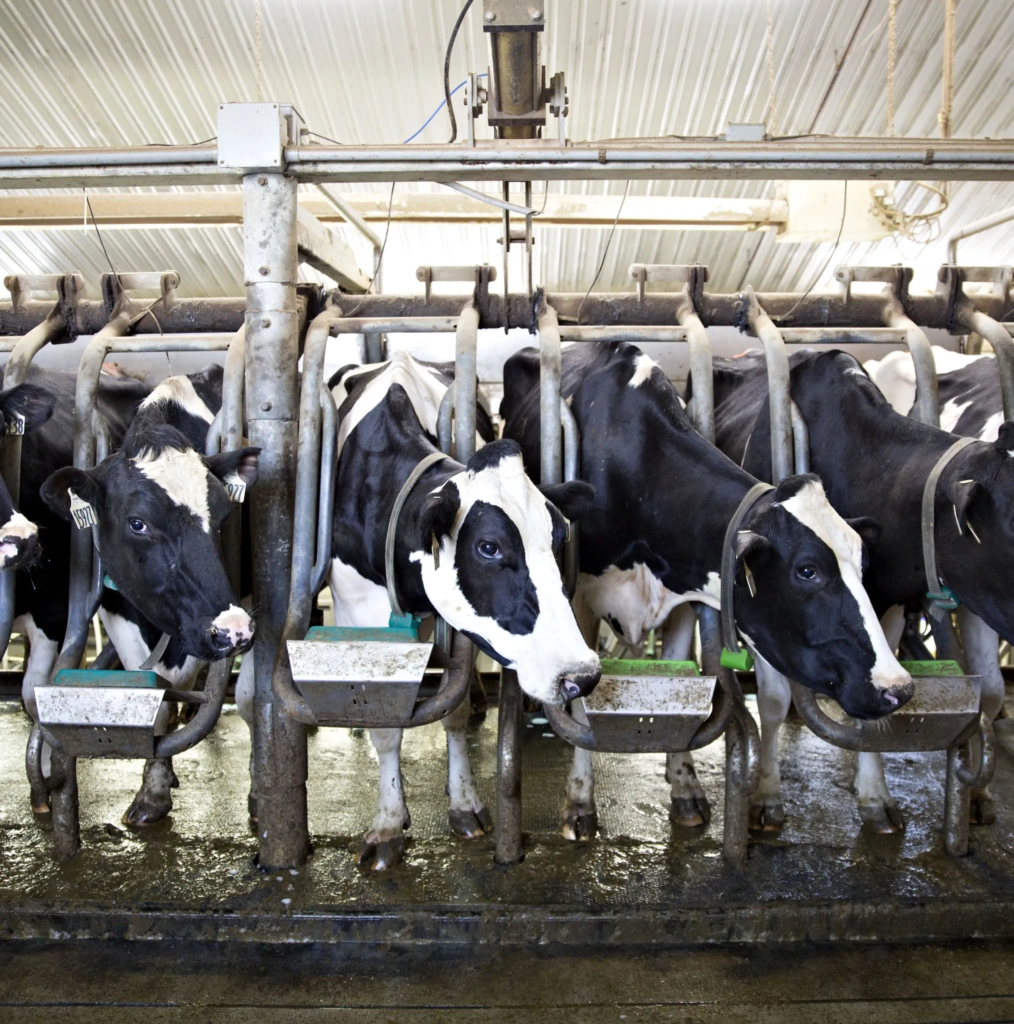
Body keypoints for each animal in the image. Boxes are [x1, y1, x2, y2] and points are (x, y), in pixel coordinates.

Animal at [19, 366, 258, 825]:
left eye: (223, 514)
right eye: (137, 523)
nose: (232, 631)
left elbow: (185, 683)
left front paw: (156, 789)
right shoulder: (117, 602)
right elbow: (153, 692)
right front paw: (154, 789)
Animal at [248, 349, 600, 870]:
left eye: (559, 538)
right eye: (489, 547)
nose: (581, 676)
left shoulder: (456, 630)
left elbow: (452, 708)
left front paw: (465, 804)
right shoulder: (357, 613)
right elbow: (386, 727)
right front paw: (388, 825)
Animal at [500, 341, 911, 840]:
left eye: (862, 562)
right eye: (808, 570)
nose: (899, 689)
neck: (641, 473)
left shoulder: (682, 600)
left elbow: (681, 686)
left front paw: (684, 785)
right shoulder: (578, 600)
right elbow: (579, 704)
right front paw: (579, 803)